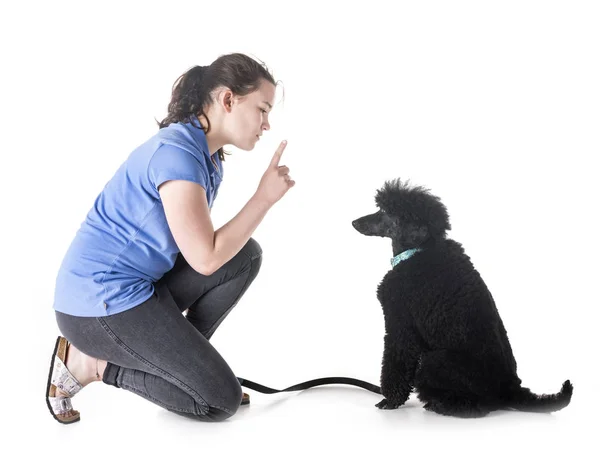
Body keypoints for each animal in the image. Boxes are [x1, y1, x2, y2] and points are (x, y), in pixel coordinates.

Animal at [352, 178, 572, 418]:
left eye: (385, 212)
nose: (355, 222)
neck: (420, 250)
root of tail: (510, 389)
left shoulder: (400, 326)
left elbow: (395, 364)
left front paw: (390, 400)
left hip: (433, 361)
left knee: (480, 405)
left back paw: (441, 405)